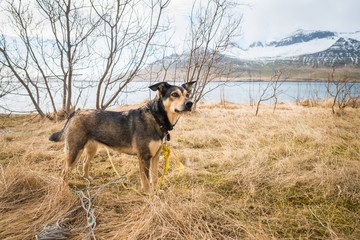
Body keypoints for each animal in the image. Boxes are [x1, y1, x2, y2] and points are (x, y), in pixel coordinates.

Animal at [49, 81, 195, 194]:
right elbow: (146, 179)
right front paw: (149, 195)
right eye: (174, 94)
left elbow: (154, 177)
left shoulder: (155, 156)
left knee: (85, 162)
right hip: (74, 151)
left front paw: (156, 192)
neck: (156, 118)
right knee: (64, 173)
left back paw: (87, 178)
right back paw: (63, 191)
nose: (190, 103)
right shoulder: (144, 157)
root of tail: (76, 112)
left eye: (187, 95)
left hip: (91, 149)